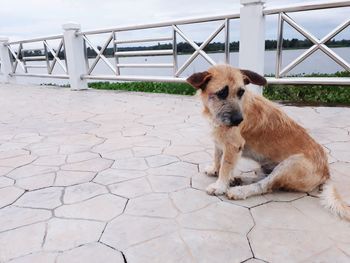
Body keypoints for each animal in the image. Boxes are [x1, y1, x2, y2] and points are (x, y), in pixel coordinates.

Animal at [187, 65, 350, 222]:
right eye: (222, 93)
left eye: (241, 92)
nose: (239, 120)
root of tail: (326, 173)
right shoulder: (220, 140)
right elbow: (217, 156)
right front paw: (215, 169)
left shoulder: (233, 145)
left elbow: (225, 167)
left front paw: (220, 186)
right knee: (264, 178)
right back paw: (238, 180)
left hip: (291, 164)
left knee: (266, 185)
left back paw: (239, 190)